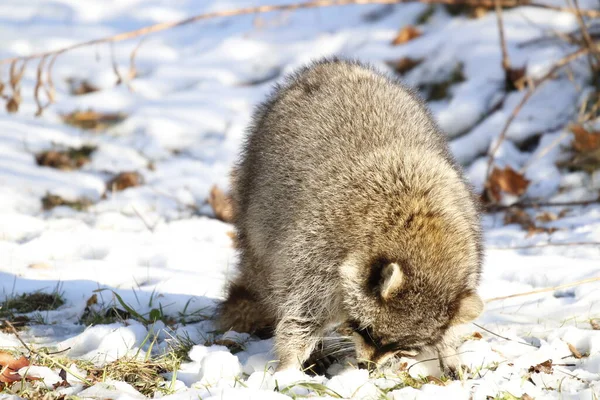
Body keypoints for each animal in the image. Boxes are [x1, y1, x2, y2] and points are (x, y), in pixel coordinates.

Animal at [218, 57, 486, 374]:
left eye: (402, 347)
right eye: (367, 331)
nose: (368, 367)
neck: (422, 226)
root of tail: (331, 66)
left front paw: (448, 349)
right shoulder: (317, 251)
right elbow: (301, 314)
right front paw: (289, 363)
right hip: (255, 208)